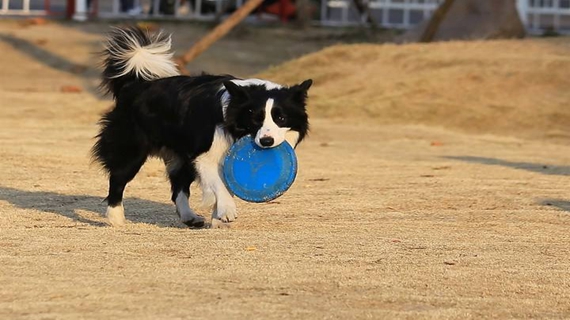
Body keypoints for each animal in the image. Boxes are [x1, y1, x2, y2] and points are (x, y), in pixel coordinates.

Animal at [92, 26, 310, 228]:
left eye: (281, 118)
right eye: (255, 119)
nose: (266, 141)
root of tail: (135, 85)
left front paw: (218, 219)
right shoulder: (205, 154)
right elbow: (220, 184)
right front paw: (227, 210)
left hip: (180, 154)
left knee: (179, 187)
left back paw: (189, 217)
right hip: (133, 147)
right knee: (118, 178)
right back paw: (116, 218)